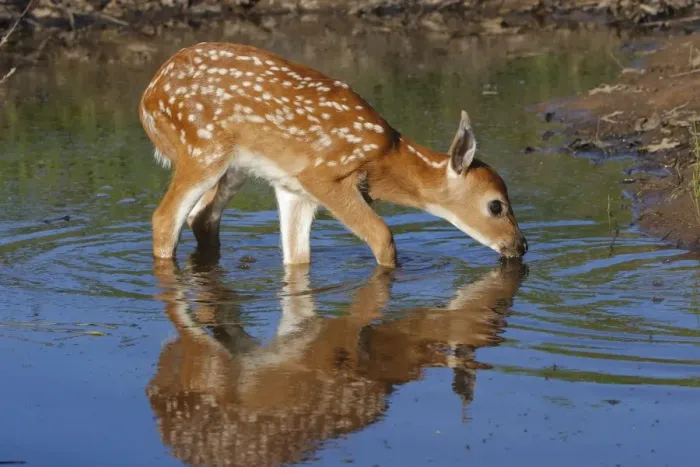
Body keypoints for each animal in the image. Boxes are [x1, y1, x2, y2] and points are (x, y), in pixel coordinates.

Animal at [139, 42, 528, 267]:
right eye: (496, 205)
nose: (521, 245)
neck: (385, 161)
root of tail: (148, 97)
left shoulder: (293, 190)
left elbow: (297, 260)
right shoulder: (323, 174)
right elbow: (383, 237)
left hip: (234, 167)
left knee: (202, 218)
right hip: (202, 147)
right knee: (165, 219)